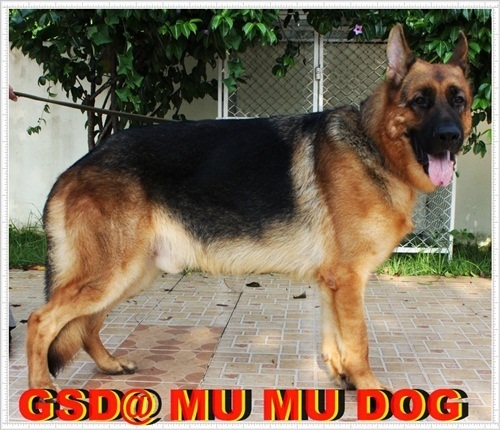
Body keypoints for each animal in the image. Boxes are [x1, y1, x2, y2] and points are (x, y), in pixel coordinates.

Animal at [26, 24, 472, 391]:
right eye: (420, 101)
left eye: (459, 101)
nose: (450, 137)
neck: (374, 143)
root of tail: (75, 168)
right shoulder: (348, 280)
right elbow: (358, 340)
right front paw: (369, 387)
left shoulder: (333, 282)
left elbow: (334, 337)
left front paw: (341, 376)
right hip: (110, 275)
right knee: (41, 321)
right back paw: (41, 388)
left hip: (130, 275)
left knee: (85, 325)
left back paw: (108, 366)